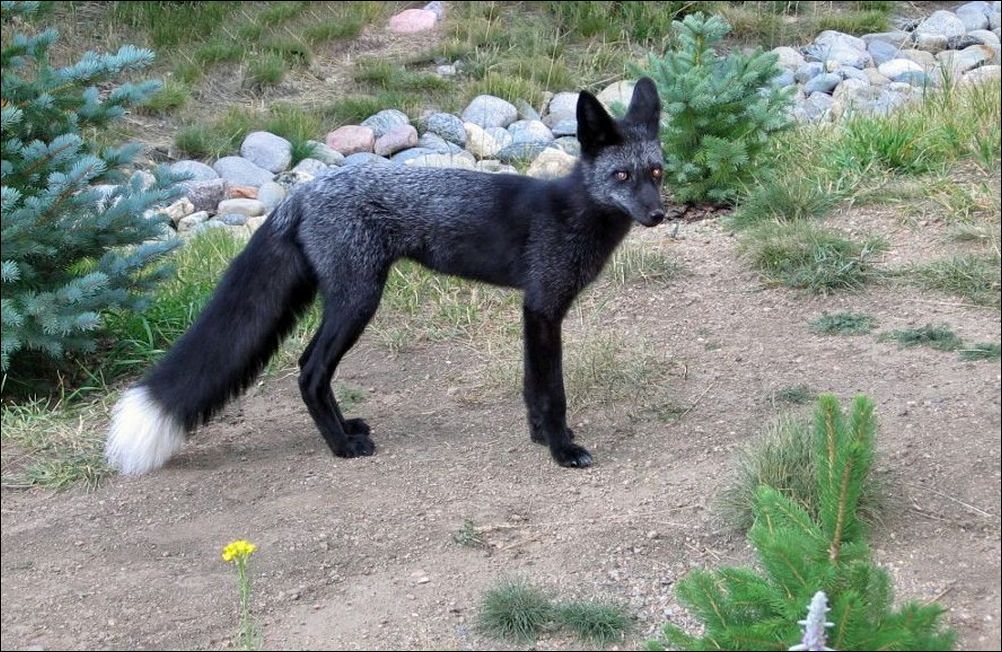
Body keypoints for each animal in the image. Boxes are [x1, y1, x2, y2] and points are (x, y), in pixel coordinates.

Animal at [105, 77, 668, 475]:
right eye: (622, 176)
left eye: (656, 172)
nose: (659, 214)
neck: (575, 212)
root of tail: (301, 191)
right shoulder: (543, 307)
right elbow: (553, 391)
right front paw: (562, 449)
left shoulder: (534, 309)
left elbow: (533, 387)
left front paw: (537, 438)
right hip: (360, 301)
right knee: (310, 370)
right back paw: (342, 447)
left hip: (351, 299)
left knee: (310, 369)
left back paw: (344, 429)